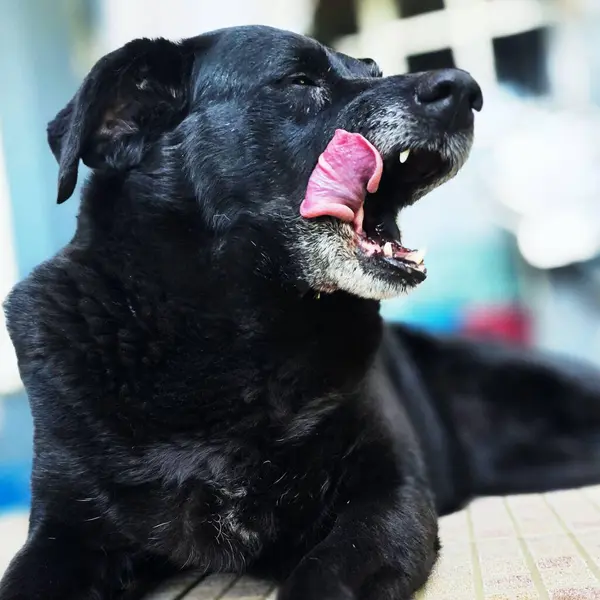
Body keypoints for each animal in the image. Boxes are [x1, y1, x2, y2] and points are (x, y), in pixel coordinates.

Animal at [1, 27, 600, 600]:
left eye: (374, 72)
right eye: (297, 80)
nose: (467, 90)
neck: (227, 339)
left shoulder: (387, 494)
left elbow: (323, 576)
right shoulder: (64, 531)